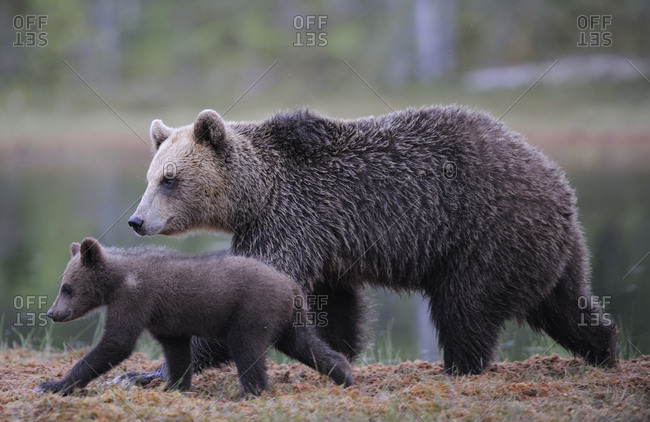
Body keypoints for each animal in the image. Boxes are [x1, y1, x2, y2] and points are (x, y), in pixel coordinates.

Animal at [39, 238, 354, 396]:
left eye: (67, 287)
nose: (53, 313)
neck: (117, 282)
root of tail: (291, 285)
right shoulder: (166, 322)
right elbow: (176, 352)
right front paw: (175, 386)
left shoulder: (136, 300)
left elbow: (116, 343)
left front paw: (54, 384)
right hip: (287, 318)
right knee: (304, 344)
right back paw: (344, 374)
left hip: (251, 310)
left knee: (247, 348)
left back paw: (251, 391)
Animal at [127, 106, 618, 377]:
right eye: (150, 178)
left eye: (170, 179)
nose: (136, 219)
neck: (257, 194)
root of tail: (553, 177)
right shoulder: (323, 239)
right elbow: (336, 306)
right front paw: (337, 352)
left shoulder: (291, 218)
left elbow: (253, 292)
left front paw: (148, 373)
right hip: (548, 247)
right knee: (566, 304)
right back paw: (604, 349)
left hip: (487, 234)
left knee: (465, 305)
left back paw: (459, 366)